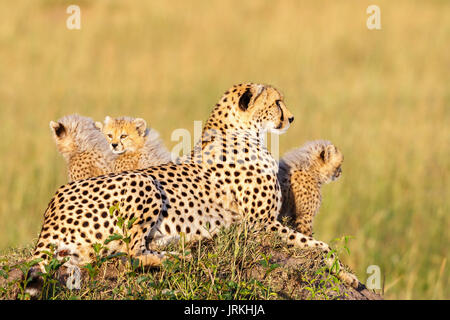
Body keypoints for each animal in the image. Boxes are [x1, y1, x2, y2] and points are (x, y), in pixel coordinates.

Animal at [28, 82, 358, 296]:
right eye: (277, 102)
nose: (290, 117)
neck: (242, 133)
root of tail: (51, 208)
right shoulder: (260, 224)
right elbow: (321, 246)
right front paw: (347, 274)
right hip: (145, 182)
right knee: (131, 252)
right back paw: (177, 258)